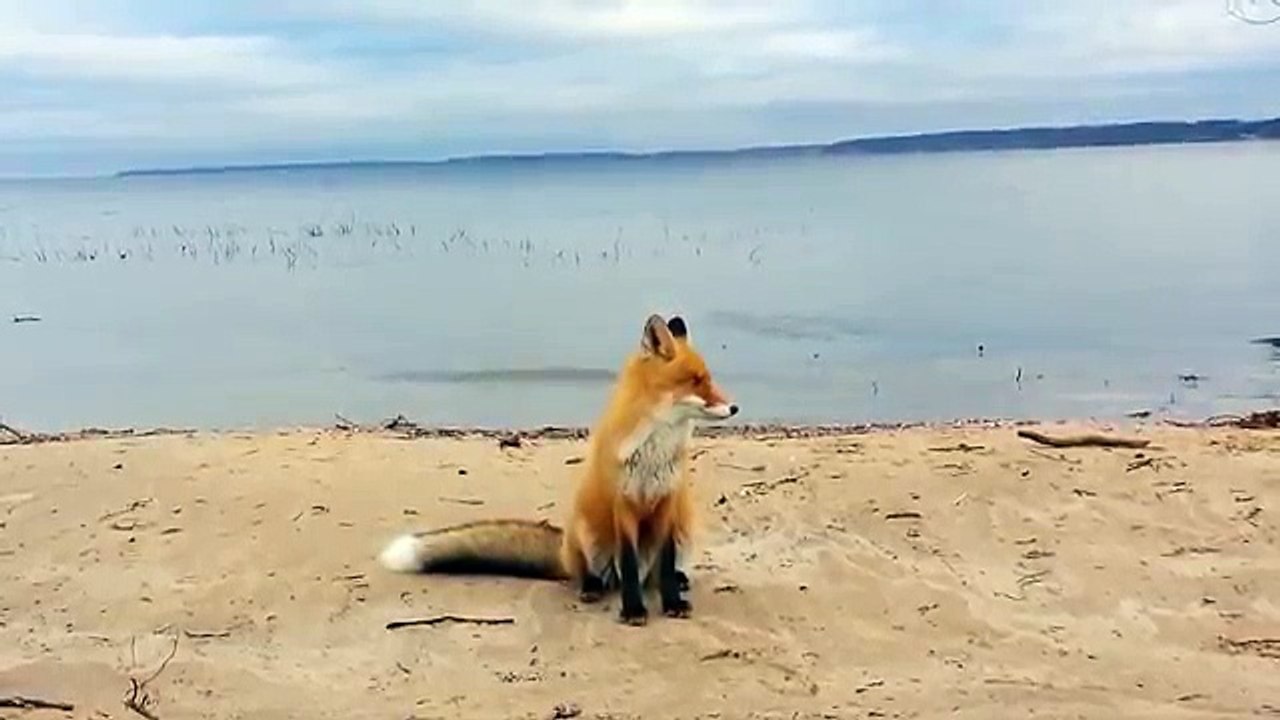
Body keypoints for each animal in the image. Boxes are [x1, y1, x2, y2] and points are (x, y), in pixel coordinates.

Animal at [378, 313, 738, 625]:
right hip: (589, 532)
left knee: (657, 573)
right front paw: (633, 610)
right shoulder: (622, 505)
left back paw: (678, 579)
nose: (735, 407)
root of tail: (564, 551)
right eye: (696, 381)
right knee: (601, 575)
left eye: (709, 378)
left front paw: (673, 601)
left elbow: (665, 565)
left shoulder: (667, 500)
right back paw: (591, 587)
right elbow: (628, 562)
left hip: (684, 525)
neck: (654, 450)